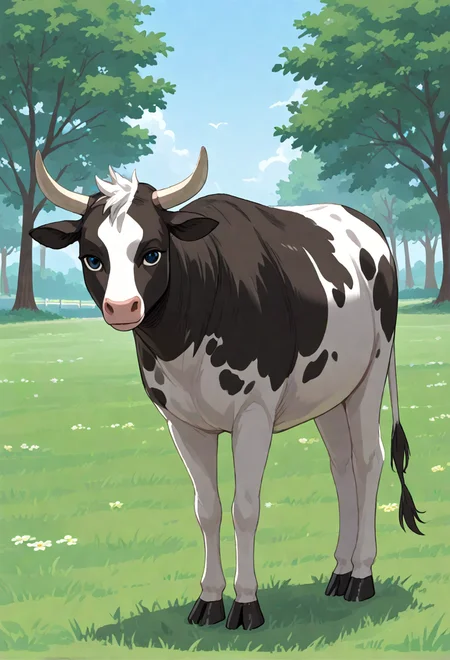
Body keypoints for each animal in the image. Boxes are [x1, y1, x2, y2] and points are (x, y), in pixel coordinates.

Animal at [31, 147, 425, 631]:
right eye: (92, 257)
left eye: (152, 253)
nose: (122, 307)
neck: (189, 330)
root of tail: (365, 222)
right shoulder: (182, 422)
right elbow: (208, 509)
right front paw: (209, 599)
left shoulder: (253, 413)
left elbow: (244, 508)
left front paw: (247, 603)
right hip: (330, 392)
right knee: (342, 466)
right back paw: (341, 571)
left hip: (371, 371)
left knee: (369, 461)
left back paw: (362, 576)